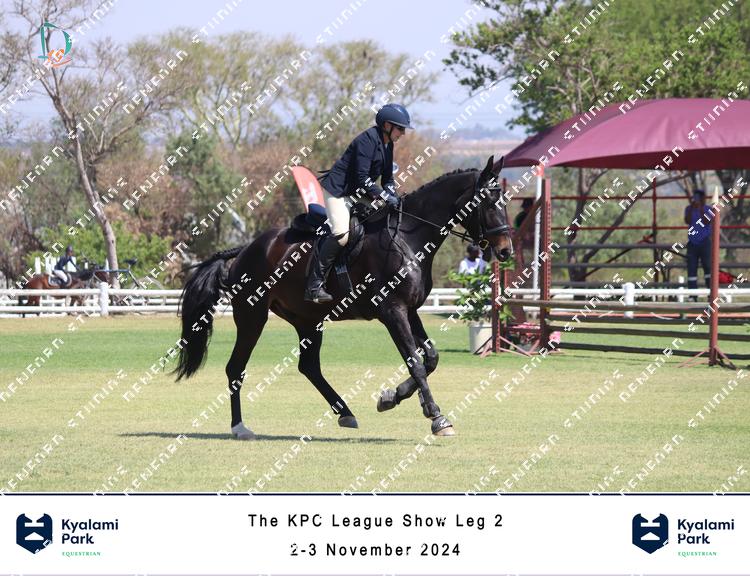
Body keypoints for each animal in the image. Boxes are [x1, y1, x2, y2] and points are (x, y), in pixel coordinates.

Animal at [174, 155, 512, 439]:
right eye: (488, 202)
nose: (506, 251)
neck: (409, 239)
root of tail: (245, 250)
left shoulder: (410, 310)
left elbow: (431, 358)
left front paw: (390, 397)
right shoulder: (392, 311)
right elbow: (415, 363)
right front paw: (437, 417)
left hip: (308, 320)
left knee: (309, 367)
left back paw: (345, 413)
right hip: (252, 316)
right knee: (236, 368)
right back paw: (240, 427)